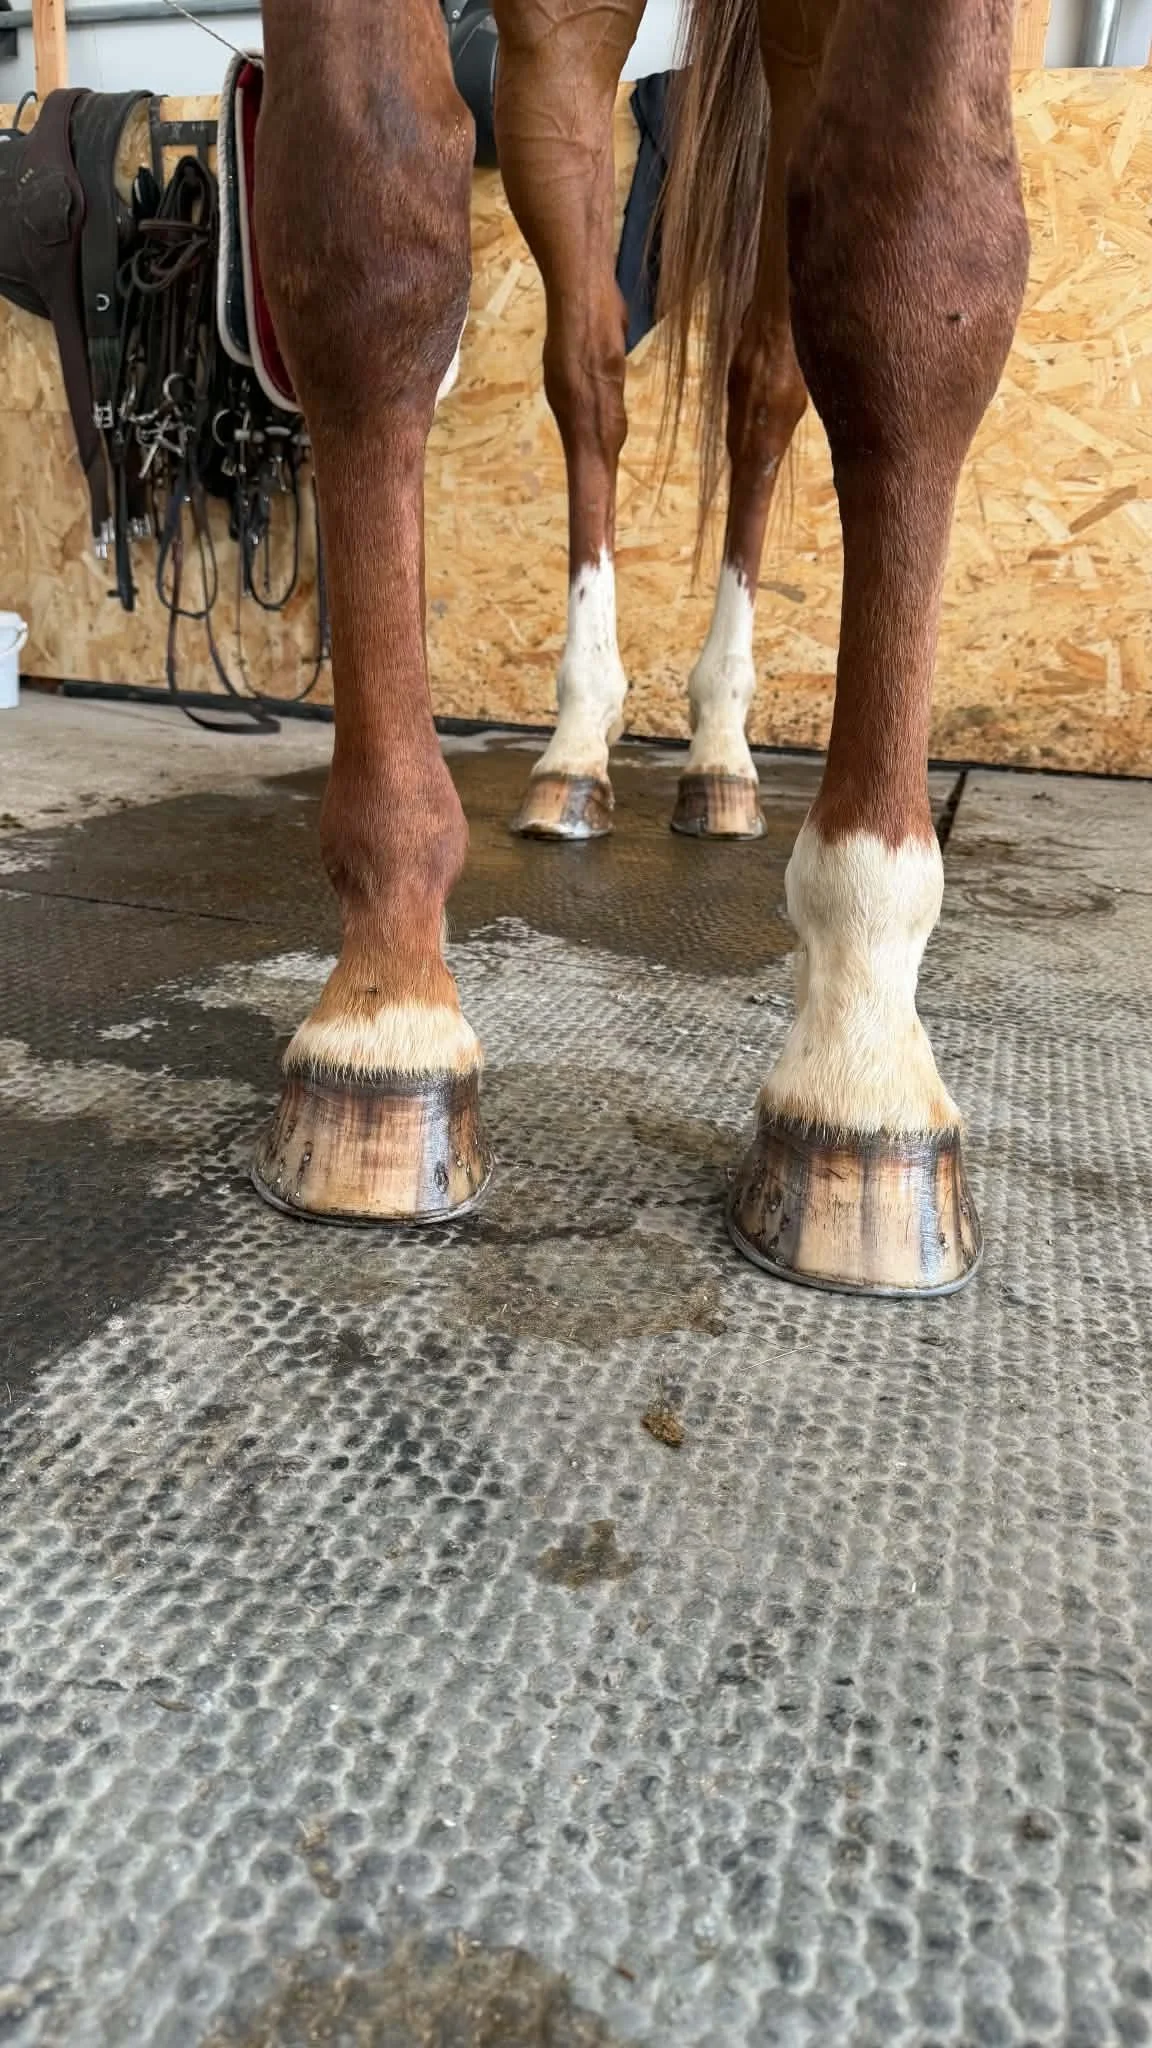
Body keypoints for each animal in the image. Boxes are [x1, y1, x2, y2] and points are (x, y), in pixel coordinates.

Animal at [249, 0, 1029, 1299]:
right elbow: (367, 237)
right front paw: (385, 1006)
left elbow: (921, 263)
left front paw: (862, 1049)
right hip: (567, 54)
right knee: (593, 374)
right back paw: (578, 750)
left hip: (791, 53)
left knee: (766, 380)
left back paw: (721, 754)